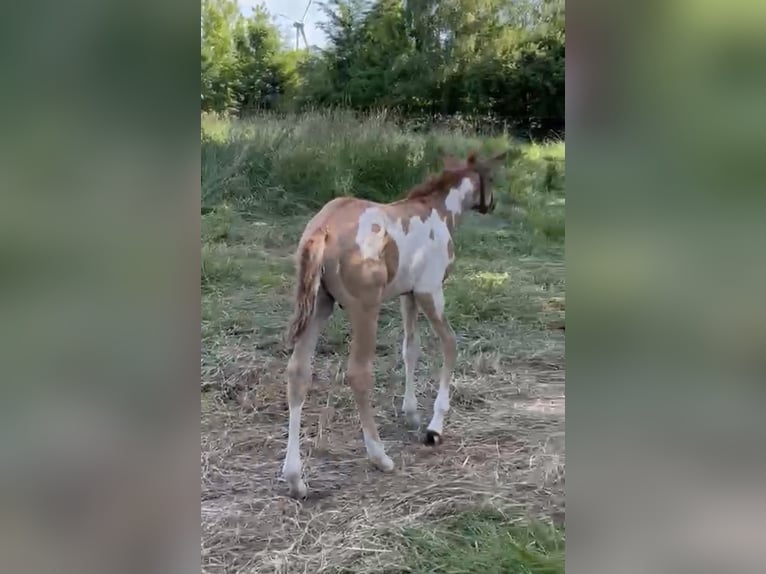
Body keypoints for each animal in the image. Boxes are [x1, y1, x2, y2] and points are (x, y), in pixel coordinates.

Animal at [281, 149, 509, 498]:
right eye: (492, 177)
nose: (491, 204)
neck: (439, 211)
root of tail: (323, 229)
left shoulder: (408, 294)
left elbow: (410, 349)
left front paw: (412, 413)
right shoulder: (430, 291)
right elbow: (450, 345)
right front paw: (434, 427)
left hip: (320, 304)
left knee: (298, 371)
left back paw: (295, 478)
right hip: (365, 307)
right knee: (358, 374)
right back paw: (380, 457)